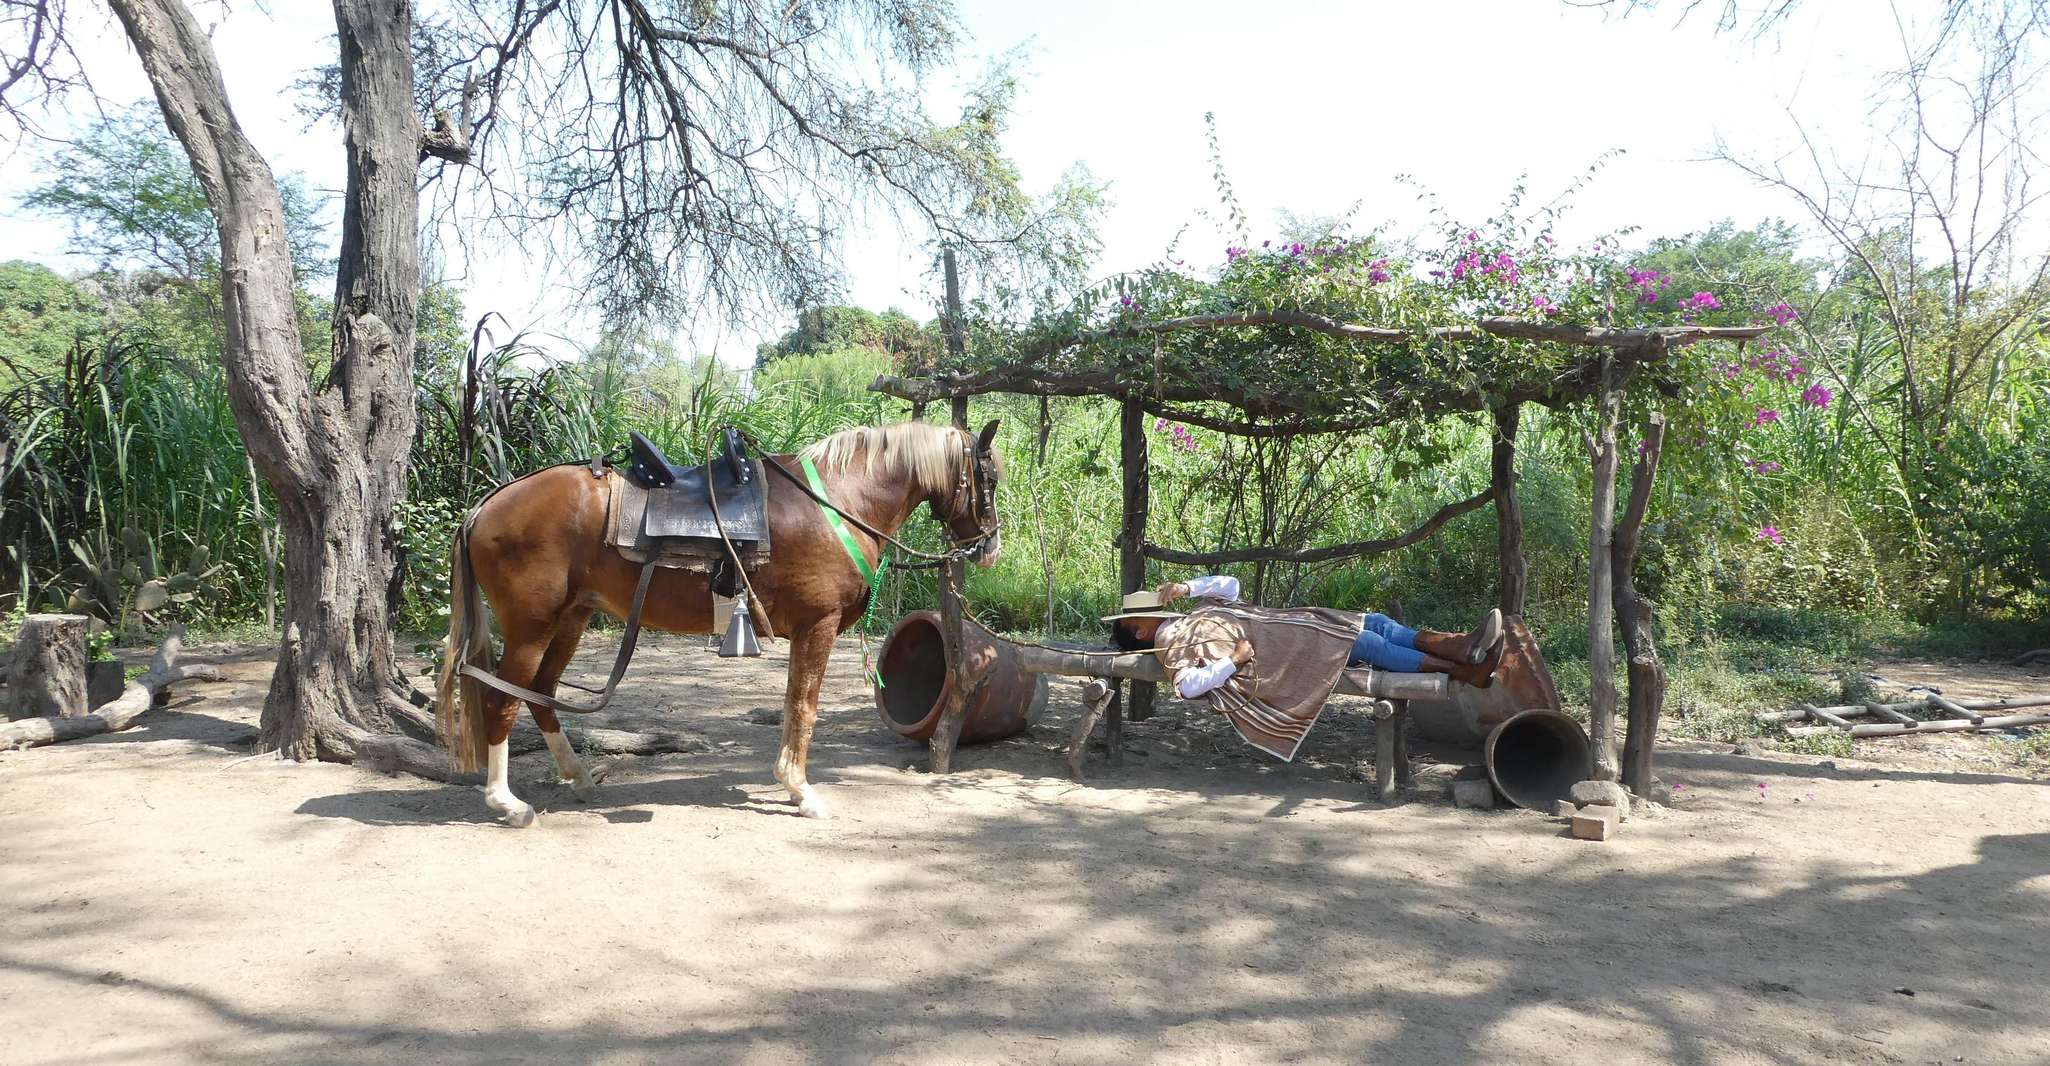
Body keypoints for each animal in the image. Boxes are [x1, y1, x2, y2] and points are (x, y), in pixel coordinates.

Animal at [438, 420, 1000, 828]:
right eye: (990, 479)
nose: (989, 548)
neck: (839, 501)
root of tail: (486, 506)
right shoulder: (818, 626)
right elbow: (805, 709)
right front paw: (801, 791)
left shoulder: (805, 633)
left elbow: (792, 705)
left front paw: (789, 783)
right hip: (531, 627)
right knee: (503, 701)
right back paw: (507, 804)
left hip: (571, 619)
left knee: (542, 694)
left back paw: (577, 776)